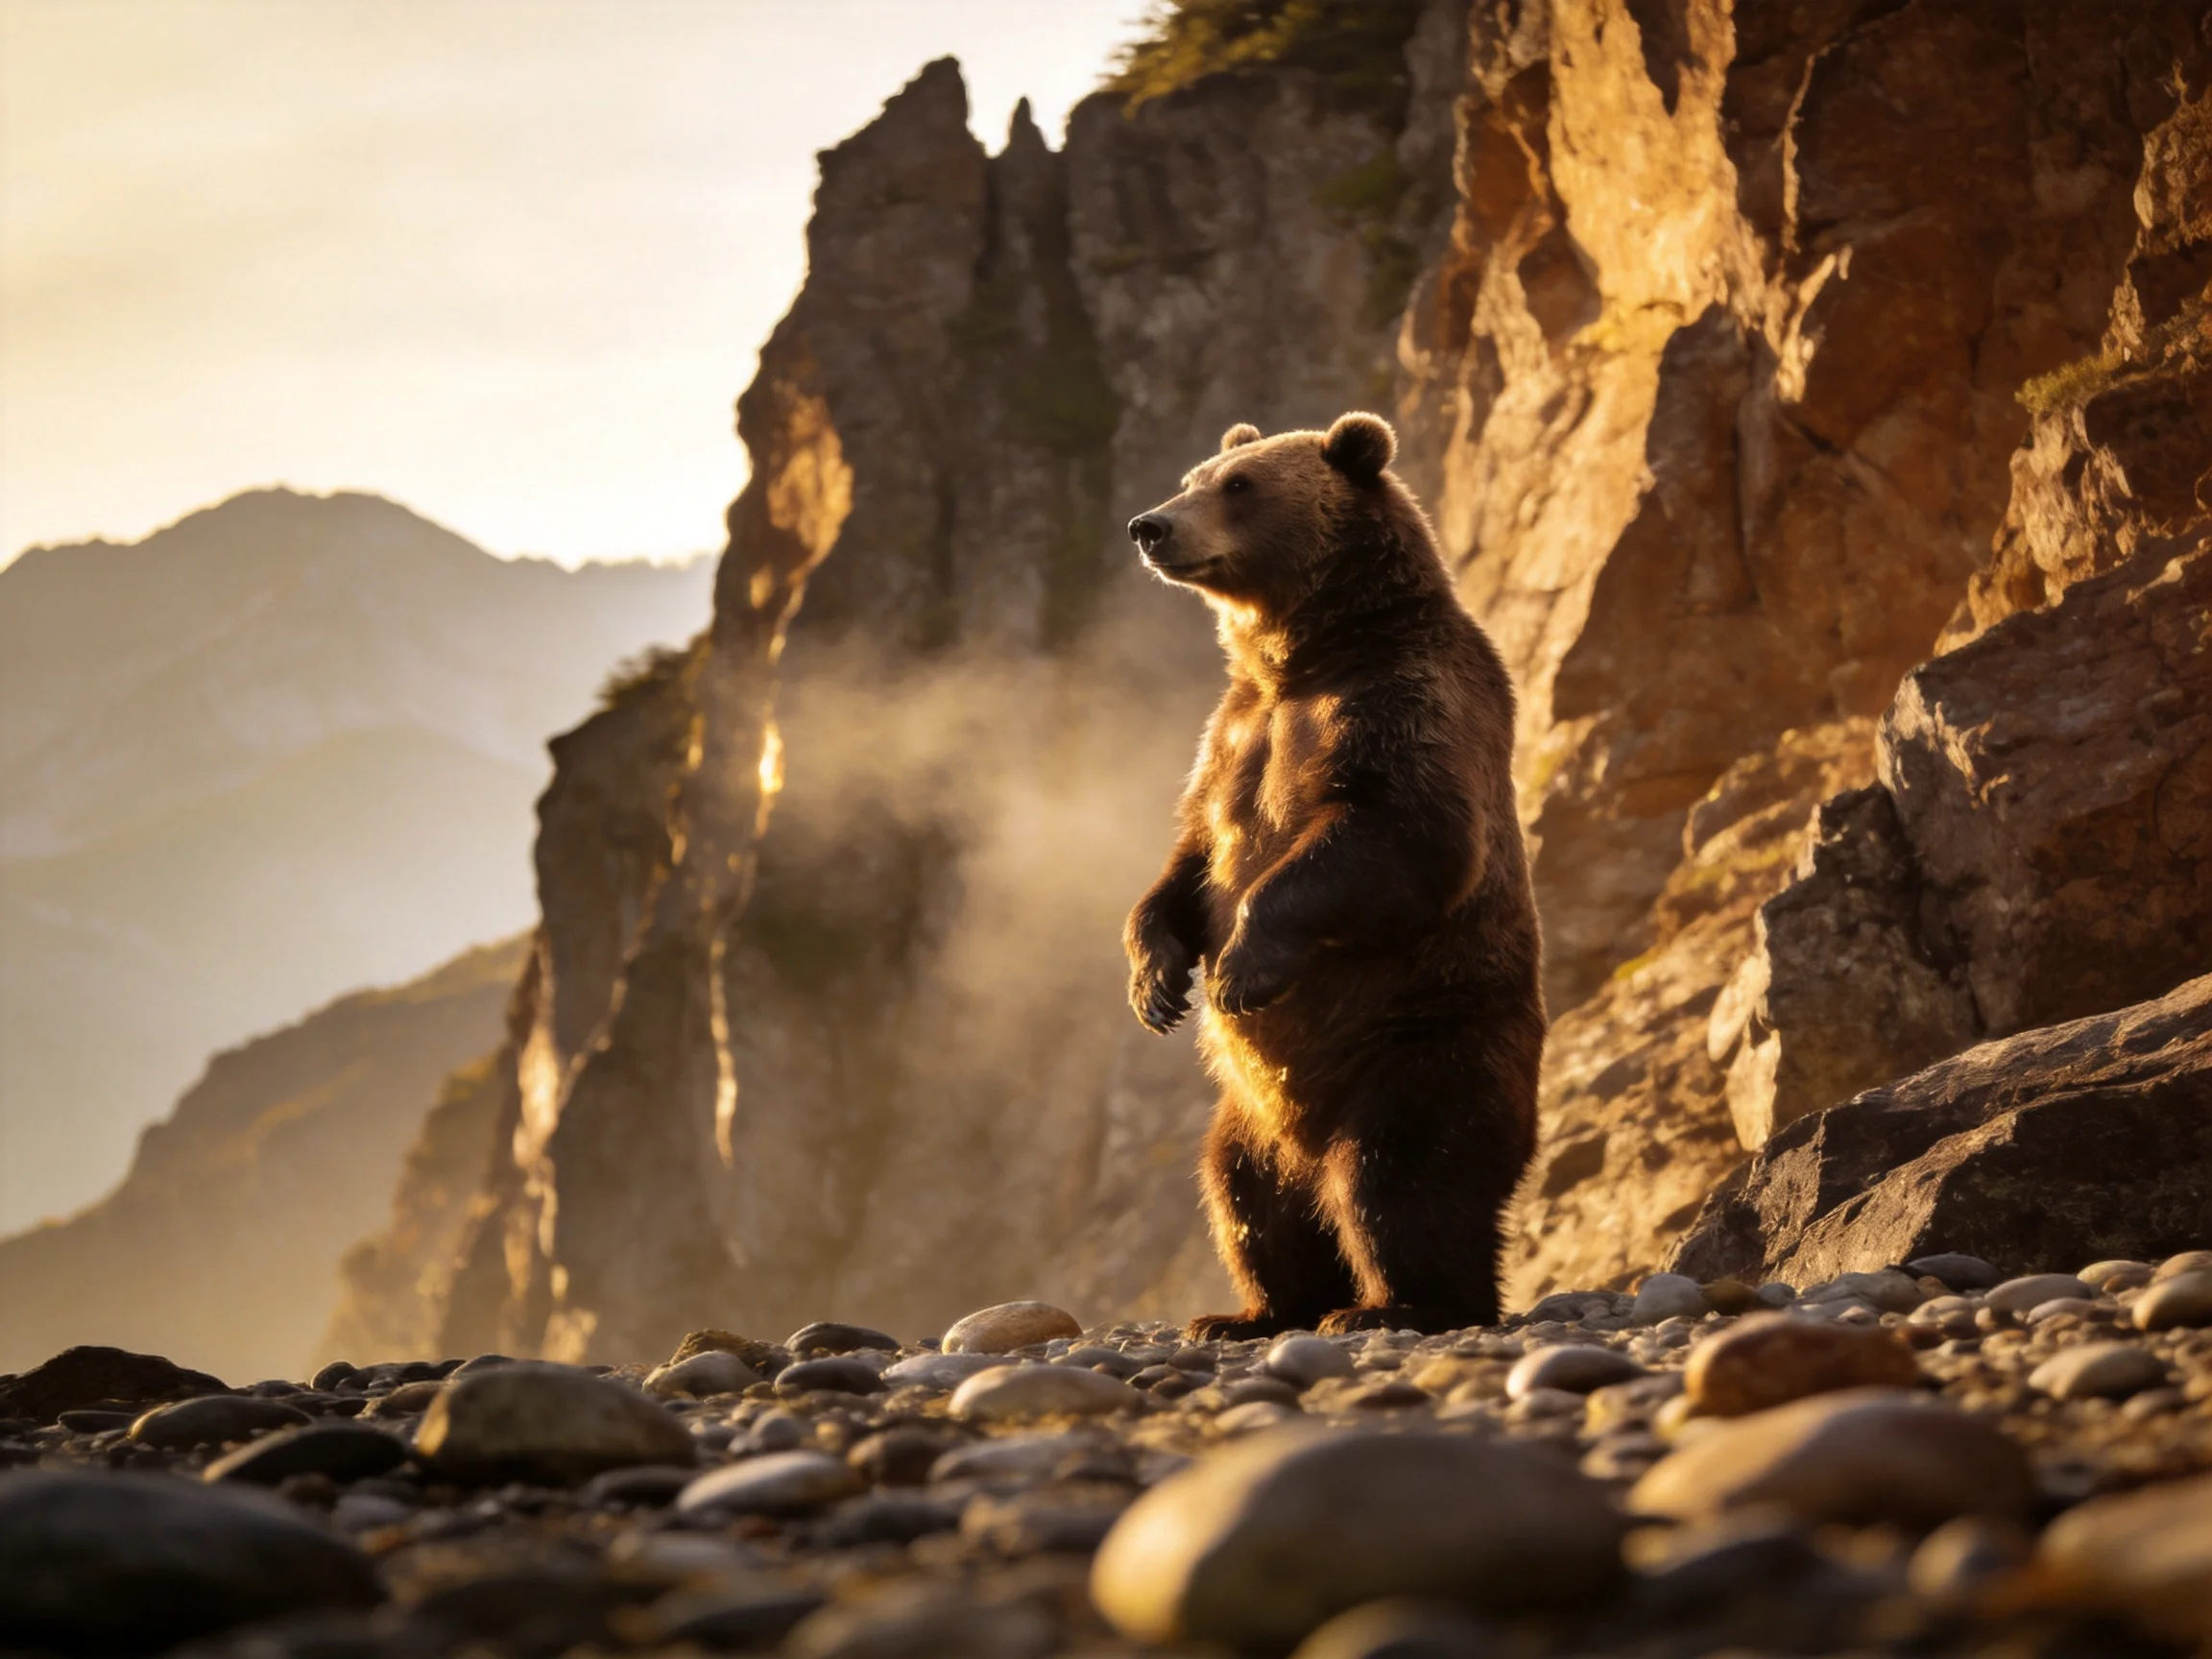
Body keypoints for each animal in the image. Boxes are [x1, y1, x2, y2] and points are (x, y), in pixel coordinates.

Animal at [1122, 411, 1545, 1339]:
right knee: (1245, 1197)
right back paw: (1252, 1312)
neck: (1306, 656)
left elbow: (1401, 832)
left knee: (1402, 1176)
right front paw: (1156, 984)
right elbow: (1188, 860)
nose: (1150, 526)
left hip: (1426, 1040)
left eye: (1240, 485)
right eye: (1194, 475)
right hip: (1250, 1113)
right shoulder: (1231, 736)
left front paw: (1240, 966)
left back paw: (1399, 1304)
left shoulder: (1404, 702)